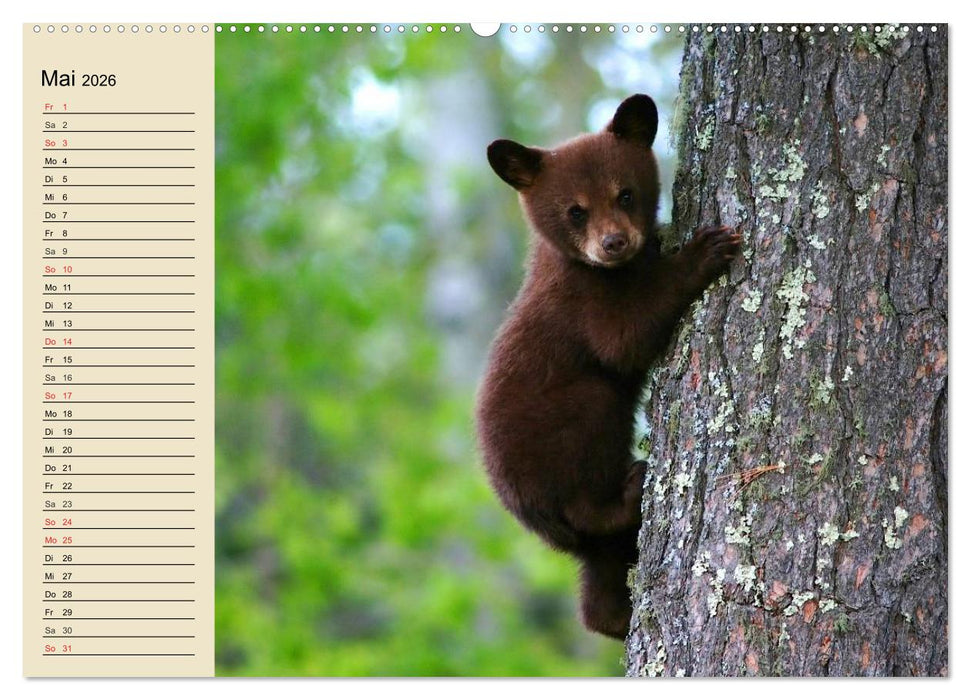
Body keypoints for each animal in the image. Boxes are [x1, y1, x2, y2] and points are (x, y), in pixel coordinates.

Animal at [475, 94, 741, 640]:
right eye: (575, 211)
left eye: (625, 194)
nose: (614, 242)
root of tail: (528, 514)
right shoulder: (582, 302)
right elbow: (625, 338)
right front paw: (703, 250)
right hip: (562, 434)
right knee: (589, 477)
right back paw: (630, 487)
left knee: (599, 575)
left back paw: (614, 617)